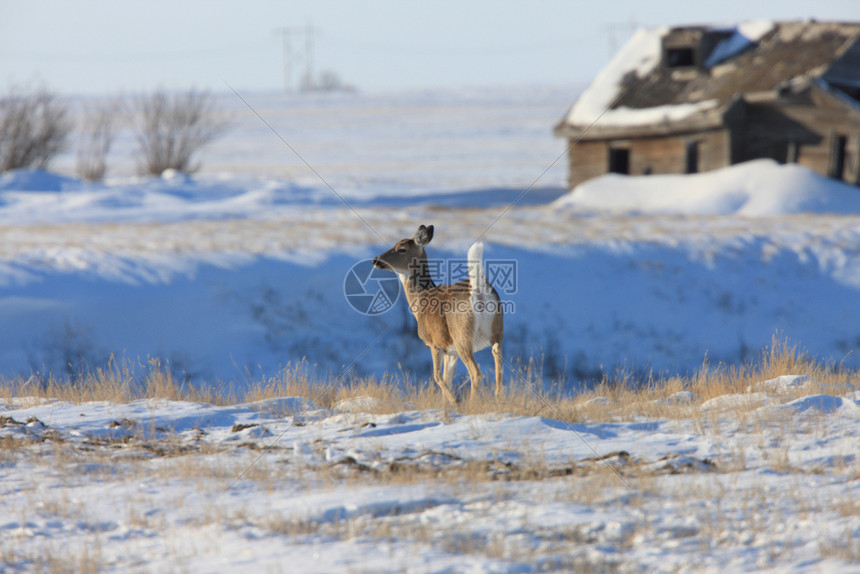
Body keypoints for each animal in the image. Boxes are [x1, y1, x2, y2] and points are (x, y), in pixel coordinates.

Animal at [372, 225, 504, 404]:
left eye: (401, 248)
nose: (376, 260)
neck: (421, 301)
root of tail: (478, 289)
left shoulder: (434, 343)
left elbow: (437, 377)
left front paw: (456, 402)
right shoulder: (450, 350)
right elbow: (447, 379)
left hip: (462, 335)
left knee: (476, 373)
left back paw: (471, 404)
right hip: (497, 331)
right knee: (499, 367)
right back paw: (497, 399)